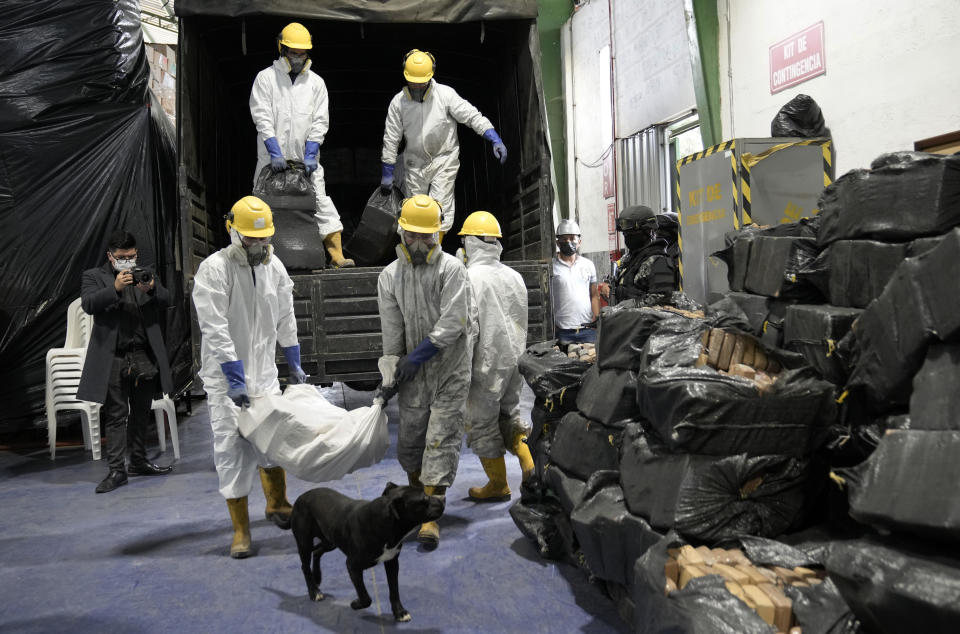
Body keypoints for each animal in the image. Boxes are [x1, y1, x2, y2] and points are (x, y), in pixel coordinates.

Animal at [290, 482, 444, 620]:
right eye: (424, 499)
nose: (443, 499)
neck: (384, 523)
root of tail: (300, 498)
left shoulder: (392, 561)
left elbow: (394, 590)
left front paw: (399, 612)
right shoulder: (352, 566)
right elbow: (366, 598)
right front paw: (355, 604)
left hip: (330, 540)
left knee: (317, 551)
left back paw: (317, 577)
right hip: (304, 542)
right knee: (305, 566)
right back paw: (313, 592)